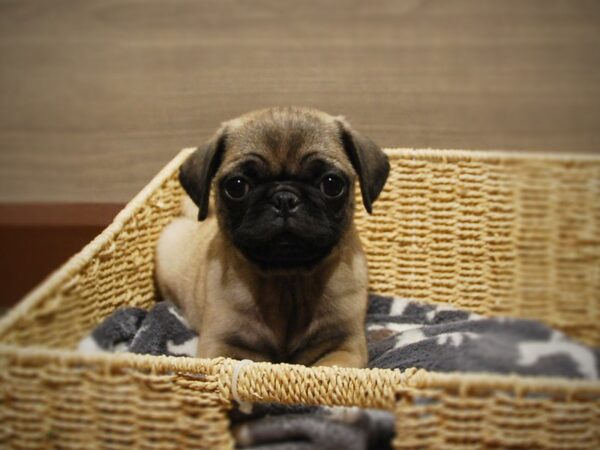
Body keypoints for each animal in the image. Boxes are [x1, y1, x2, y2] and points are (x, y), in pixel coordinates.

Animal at [155, 107, 390, 368]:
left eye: (331, 184)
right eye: (236, 186)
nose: (284, 198)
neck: (287, 282)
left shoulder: (344, 346)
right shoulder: (219, 346)